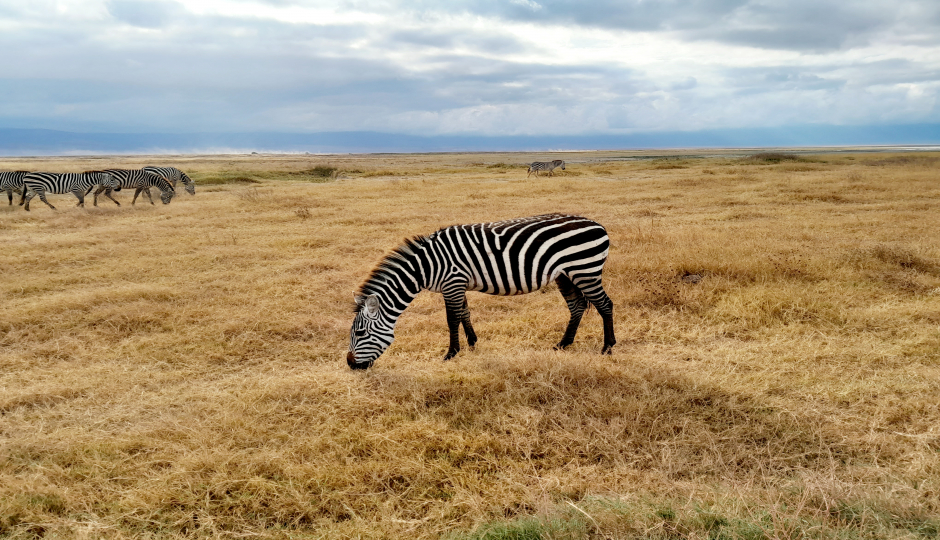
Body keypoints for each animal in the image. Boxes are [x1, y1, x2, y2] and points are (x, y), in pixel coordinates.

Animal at [346, 213, 616, 370]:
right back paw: (563, 344)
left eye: (360, 333)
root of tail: (598, 224)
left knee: (605, 305)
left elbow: (452, 318)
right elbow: (465, 313)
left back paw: (608, 348)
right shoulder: (457, 284)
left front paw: (451, 353)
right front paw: (473, 343)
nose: (350, 364)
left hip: (585, 269)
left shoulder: (452, 282)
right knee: (577, 306)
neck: (424, 267)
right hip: (566, 274)